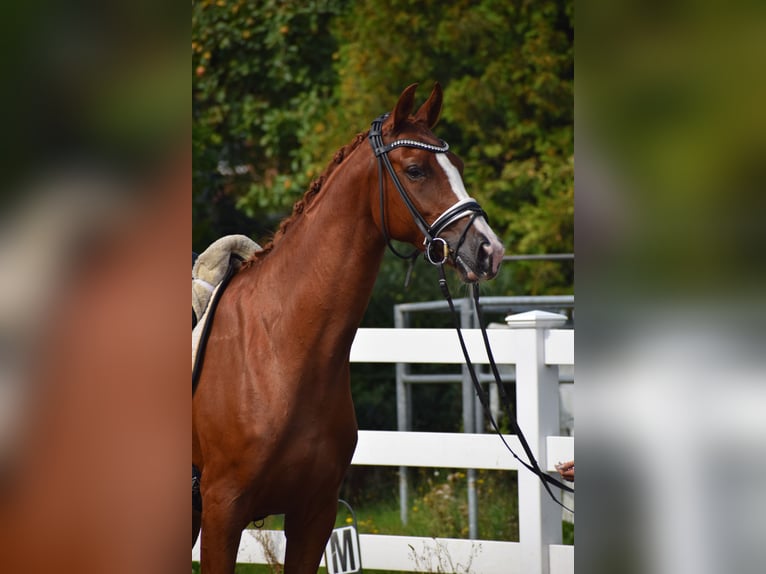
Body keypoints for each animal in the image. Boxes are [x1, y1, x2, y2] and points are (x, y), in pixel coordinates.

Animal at [190, 83, 504, 572]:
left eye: (460, 167)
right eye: (415, 170)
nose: (489, 250)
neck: (278, 351)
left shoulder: (314, 515)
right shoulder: (223, 513)